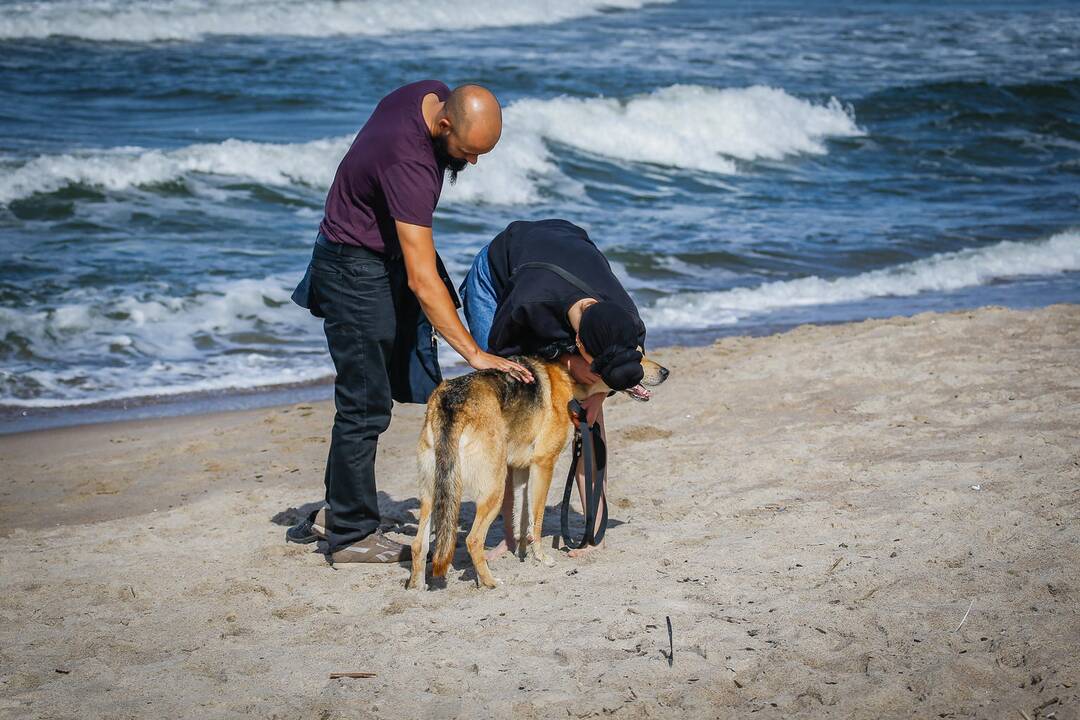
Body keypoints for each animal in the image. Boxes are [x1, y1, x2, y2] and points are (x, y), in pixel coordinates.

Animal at [410, 354, 669, 591]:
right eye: (636, 355)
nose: (666, 372)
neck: (570, 374)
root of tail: (450, 401)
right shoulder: (543, 465)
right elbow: (537, 519)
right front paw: (541, 558)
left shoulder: (522, 470)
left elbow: (524, 517)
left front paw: (524, 552)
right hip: (493, 489)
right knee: (473, 540)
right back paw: (490, 582)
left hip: (434, 494)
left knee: (418, 544)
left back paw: (417, 587)